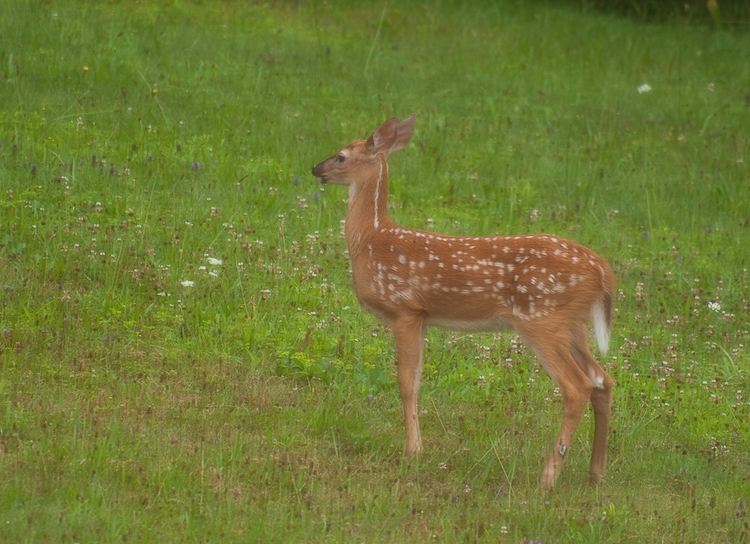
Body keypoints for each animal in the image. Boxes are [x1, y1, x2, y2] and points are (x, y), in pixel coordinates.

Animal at [312, 113, 616, 488]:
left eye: (341, 156)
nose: (315, 168)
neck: (372, 239)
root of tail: (602, 271)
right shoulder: (424, 317)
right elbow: (417, 380)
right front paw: (418, 447)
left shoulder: (403, 309)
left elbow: (406, 383)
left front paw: (413, 452)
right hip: (573, 325)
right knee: (603, 380)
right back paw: (597, 472)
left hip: (541, 318)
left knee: (578, 387)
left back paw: (548, 478)